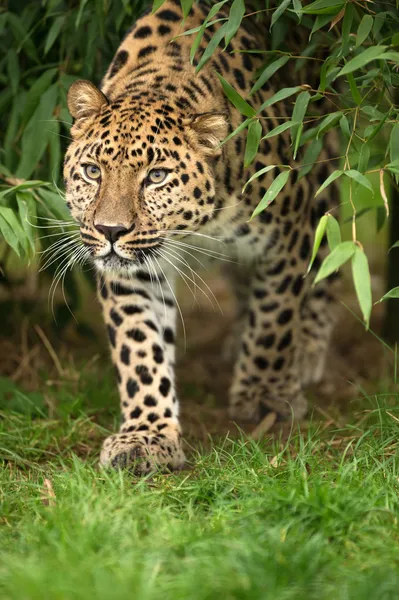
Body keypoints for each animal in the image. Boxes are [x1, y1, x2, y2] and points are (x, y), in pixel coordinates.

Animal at [65, 1, 340, 478]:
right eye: (92, 171)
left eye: (156, 176)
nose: (111, 231)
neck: (196, 227)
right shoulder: (132, 271)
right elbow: (140, 349)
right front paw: (147, 435)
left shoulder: (289, 230)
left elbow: (274, 320)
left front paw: (264, 393)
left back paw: (306, 349)